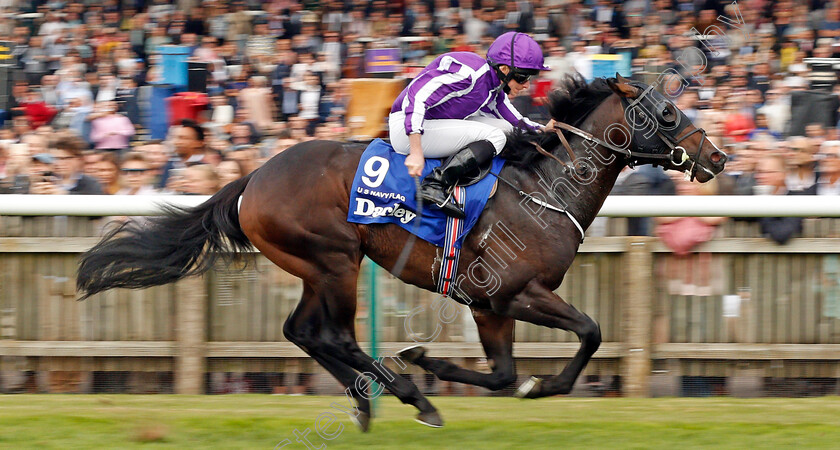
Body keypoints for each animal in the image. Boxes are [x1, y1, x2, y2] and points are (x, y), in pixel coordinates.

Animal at [75, 75, 724, 430]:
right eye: (668, 113)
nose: (716, 157)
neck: (545, 190)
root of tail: (253, 178)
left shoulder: (489, 306)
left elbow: (505, 373)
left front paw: (454, 368)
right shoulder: (514, 293)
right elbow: (589, 331)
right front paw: (448, 369)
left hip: (316, 266)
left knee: (302, 332)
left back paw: (370, 403)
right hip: (335, 260)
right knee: (334, 335)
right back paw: (407, 395)